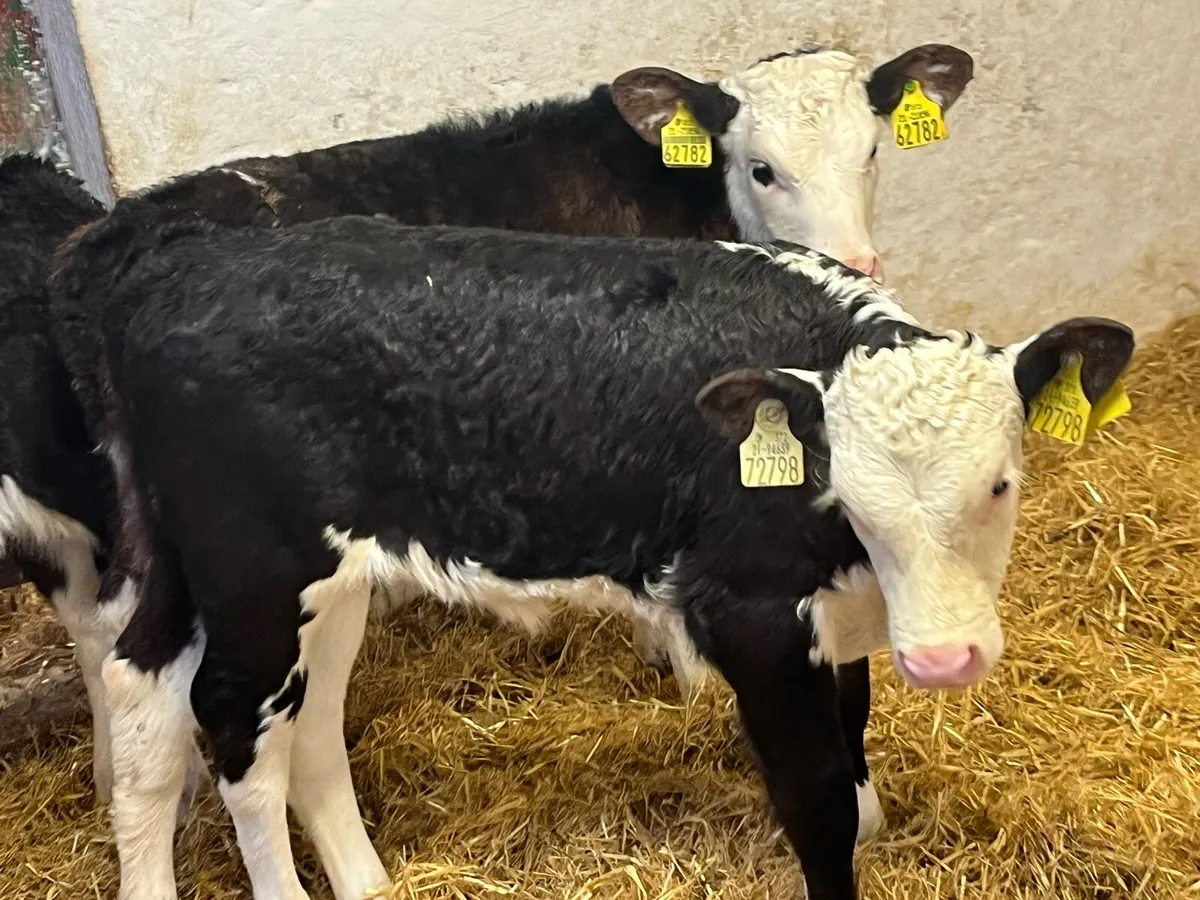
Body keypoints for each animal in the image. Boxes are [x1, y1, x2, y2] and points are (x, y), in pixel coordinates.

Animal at [50, 205, 1133, 900]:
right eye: (853, 499)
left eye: (1000, 483)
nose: (945, 658)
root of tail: (184, 263)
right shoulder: (745, 611)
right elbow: (823, 801)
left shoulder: (833, 618)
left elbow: (857, 744)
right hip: (258, 568)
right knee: (233, 723)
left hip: (282, 570)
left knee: (208, 702)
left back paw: (354, 883)